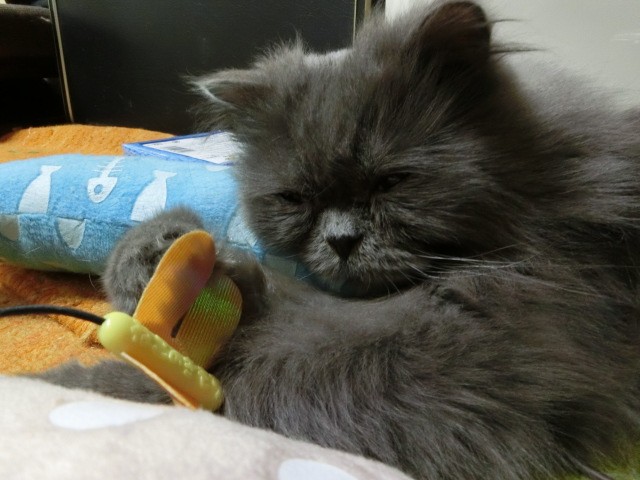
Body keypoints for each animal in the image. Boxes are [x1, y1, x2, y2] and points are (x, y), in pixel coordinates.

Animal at [40, 1, 640, 479]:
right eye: (295, 199)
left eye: (391, 182)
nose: (343, 240)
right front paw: (161, 255)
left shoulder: (472, 351)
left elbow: (256, 377)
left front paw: (71, 388)